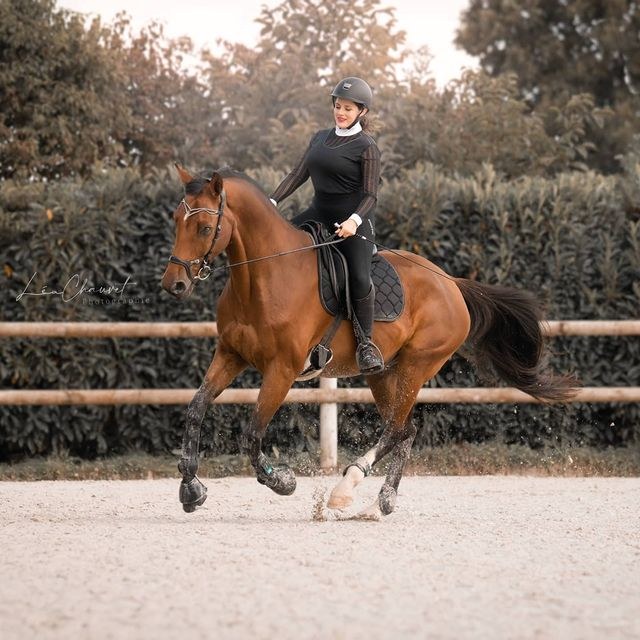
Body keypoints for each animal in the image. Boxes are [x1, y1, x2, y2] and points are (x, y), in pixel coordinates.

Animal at [161, 164, 575, 518]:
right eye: (175, 221)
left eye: (203, 227)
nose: (174, 285)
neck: (265, 275)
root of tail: (451, 283)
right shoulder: (229, 355)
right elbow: (196, 408)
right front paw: (190, 488)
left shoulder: (282, 370)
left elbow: (252, 433)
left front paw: (282, 481)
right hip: (382, 373)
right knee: (405, 429)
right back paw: (382, 501)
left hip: (415, 366)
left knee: (395, 430)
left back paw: (346, 487)